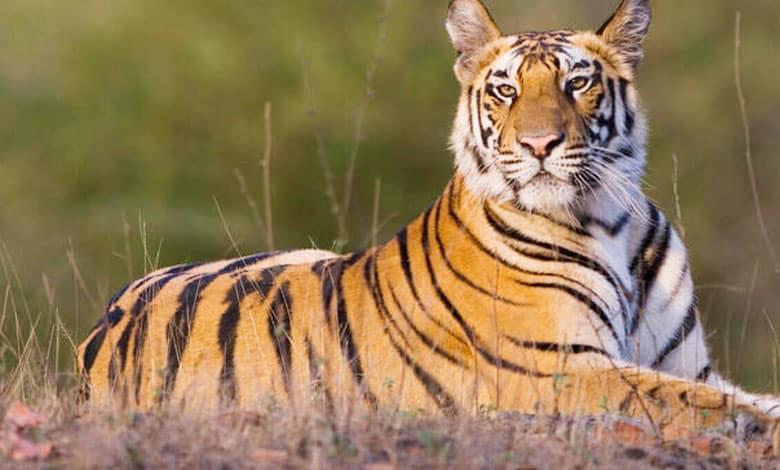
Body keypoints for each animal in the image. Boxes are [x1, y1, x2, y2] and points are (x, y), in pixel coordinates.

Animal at [78, 0, 780, 443]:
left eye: (577, 84)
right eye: (505, 90)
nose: (540, 144)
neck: (610, 221)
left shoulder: (685, 363)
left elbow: (730, 393)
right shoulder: (559, 368)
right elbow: (699, 403)